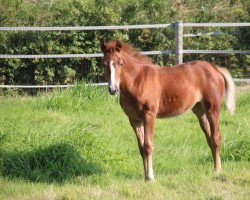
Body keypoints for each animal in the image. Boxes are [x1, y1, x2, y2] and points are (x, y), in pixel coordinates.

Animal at [100, 40, 234, 181]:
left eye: (121, 64)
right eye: (104, 64)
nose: (113, 89)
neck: (137, 81)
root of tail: (216, 69)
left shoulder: (149, 115)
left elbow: (148, 145)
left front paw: (150, 177)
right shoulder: (134, 120)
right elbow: (141, 148)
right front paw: (145, 176)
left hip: (212, 109)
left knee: (216, 137)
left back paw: (218, 170)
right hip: (200, 111)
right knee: (209, 139)